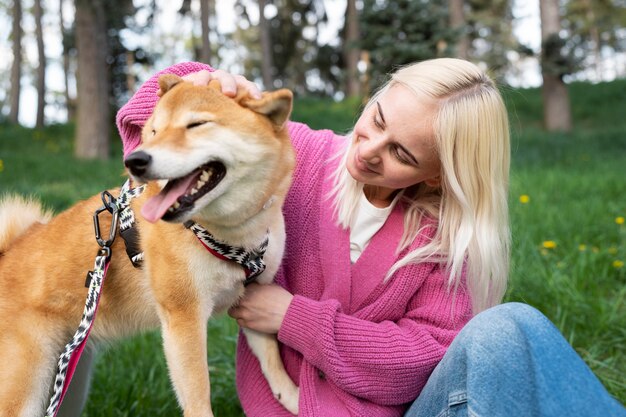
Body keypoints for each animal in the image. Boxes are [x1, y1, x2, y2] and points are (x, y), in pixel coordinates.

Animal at [0, 75, 298, 416]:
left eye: (197, 124)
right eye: (153, 131)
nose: (135, 160)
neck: (230, 236)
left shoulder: (253, 296)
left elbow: (273, 361)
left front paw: (295, 398)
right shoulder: (183, 317)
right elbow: (198, 392)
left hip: (70, 381)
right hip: (26, 387)